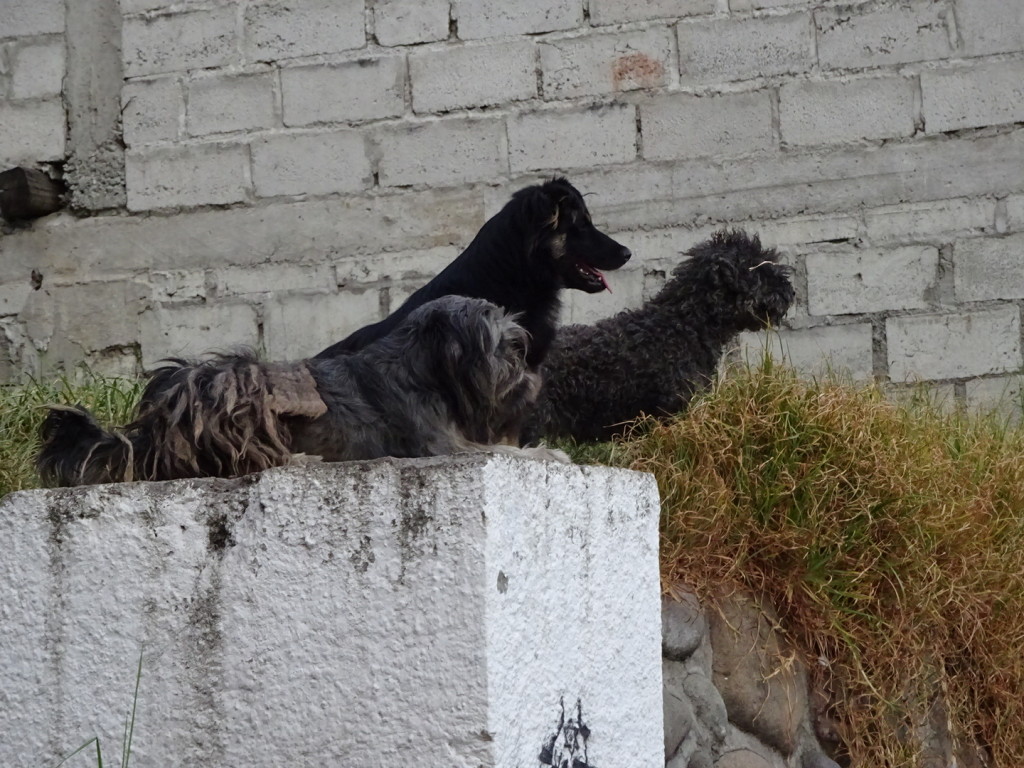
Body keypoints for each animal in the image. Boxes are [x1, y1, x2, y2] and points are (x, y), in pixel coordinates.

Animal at [37, 294, 569, 487]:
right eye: (501, 348)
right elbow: (501, 452)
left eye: (515, 345)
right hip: (232, 383)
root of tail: (150, 432)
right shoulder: (440, 446)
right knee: (237, 460)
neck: (424, 368)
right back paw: (296, 459)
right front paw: (548, 453)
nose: (530, 369)